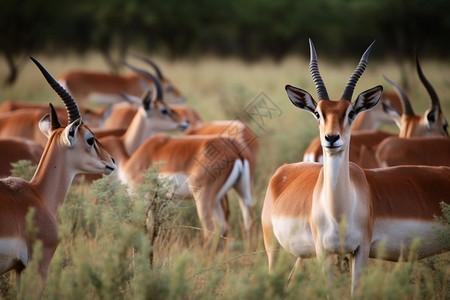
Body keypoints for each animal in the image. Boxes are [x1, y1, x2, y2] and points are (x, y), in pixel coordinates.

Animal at [260, 38, 450, 294]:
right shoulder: (324, 253)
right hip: (274, 249)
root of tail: (284, 170)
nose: (332, 138)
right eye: (318, 113)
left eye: (351, 112)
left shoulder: (359, 252)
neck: (338, 210)